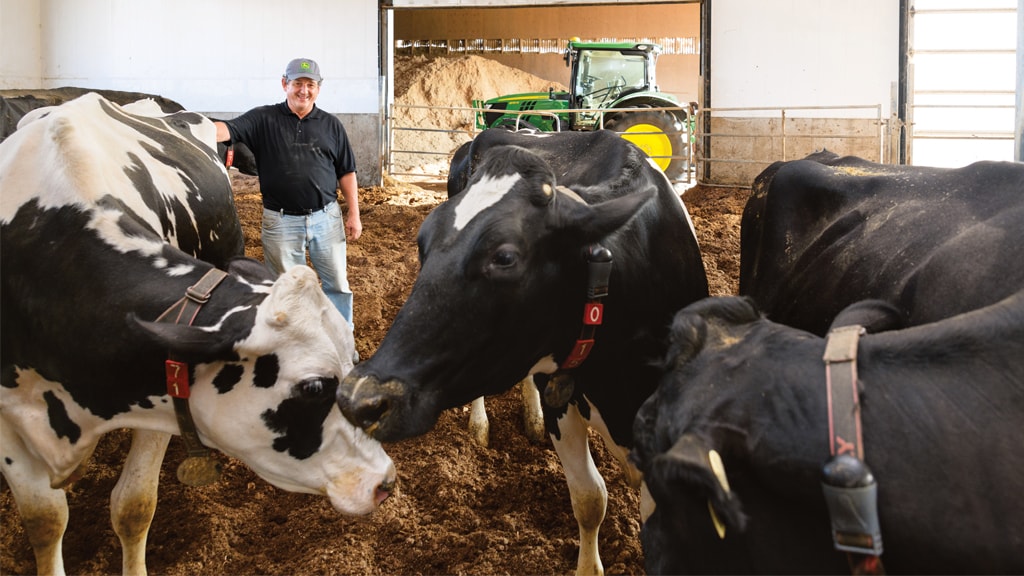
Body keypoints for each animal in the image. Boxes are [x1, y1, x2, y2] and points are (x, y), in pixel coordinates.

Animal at [339, 127, 708, 569]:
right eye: (422, 244)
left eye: (504, 257)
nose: (358, 396)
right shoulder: (561, 403)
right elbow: (590, 499)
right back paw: (480, 425)